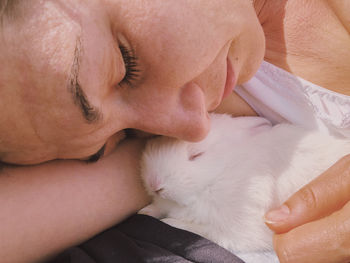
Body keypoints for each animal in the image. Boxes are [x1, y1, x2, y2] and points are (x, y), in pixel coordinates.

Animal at [139, 113, 350, 263]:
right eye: (156, 139)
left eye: (196, 155)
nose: (154, 183)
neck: (221, 173)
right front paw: (145, 212)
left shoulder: (238, 227)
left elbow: (199, 229)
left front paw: (169, 223)